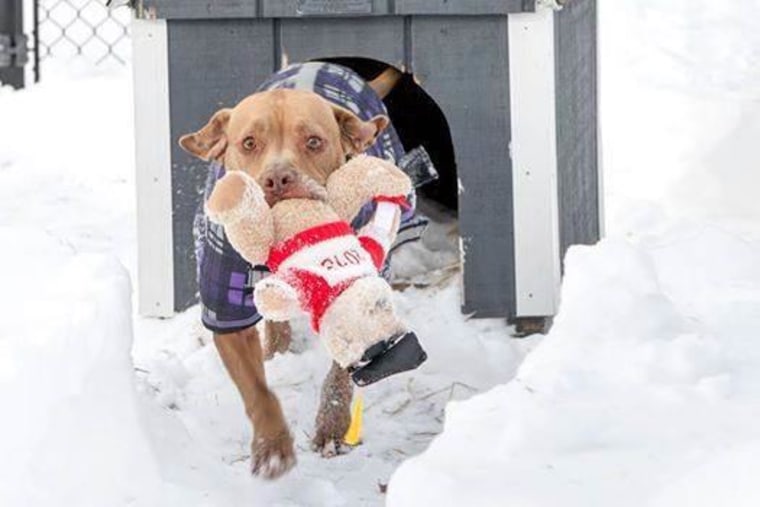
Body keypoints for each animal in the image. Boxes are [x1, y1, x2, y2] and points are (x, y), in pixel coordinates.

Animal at [178, 85, 392, 478]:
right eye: (249, 143)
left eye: (313, 141)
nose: (278, 179)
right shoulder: (226, 313)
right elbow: (257, 391)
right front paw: (272, 447)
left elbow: (340, 372)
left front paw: (331, 427)